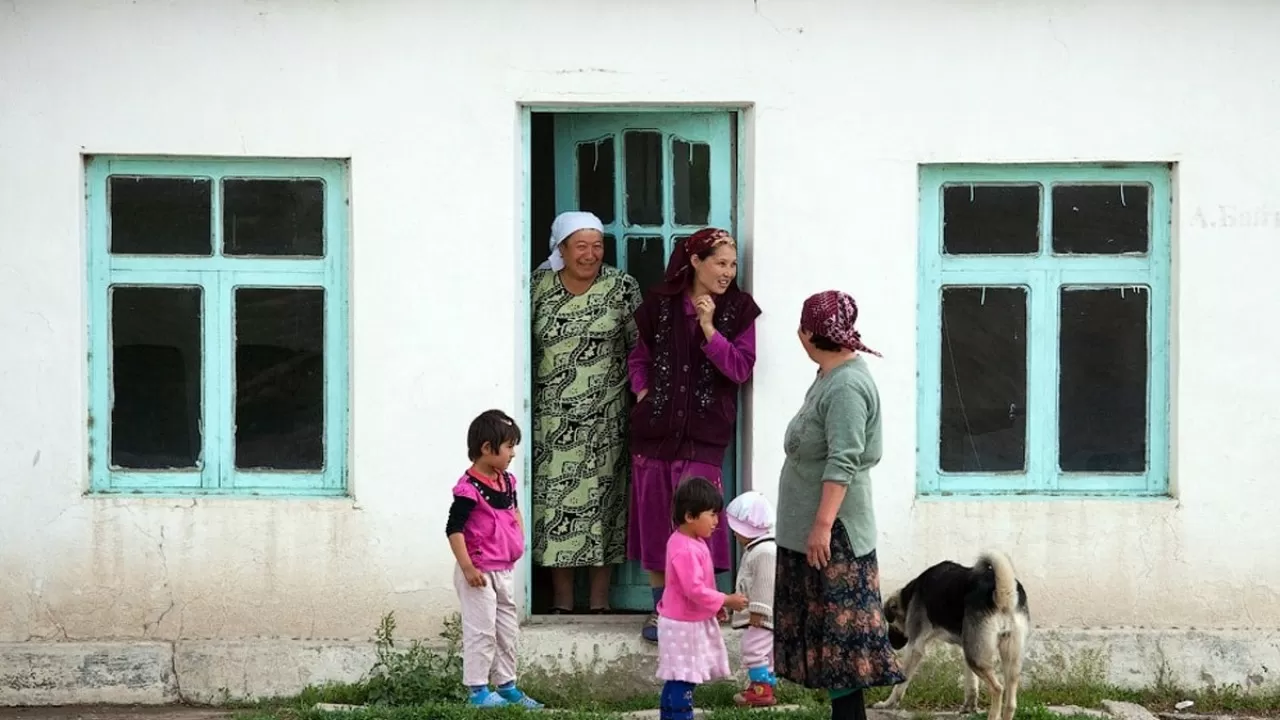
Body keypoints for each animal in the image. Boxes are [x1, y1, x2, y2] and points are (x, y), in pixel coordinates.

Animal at [875, 548, 1034, 717]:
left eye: (890, 624)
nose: (892, 644)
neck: (910, 594)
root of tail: (1004, 595)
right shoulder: (967, 647)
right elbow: (971, 683)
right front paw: (969, 707)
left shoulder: (915, 647)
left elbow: (901, 683)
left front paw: (888, 703)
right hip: (1006, 657)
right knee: (1010, 701)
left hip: (977, 658)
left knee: (997, 689)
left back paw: (993, 715)